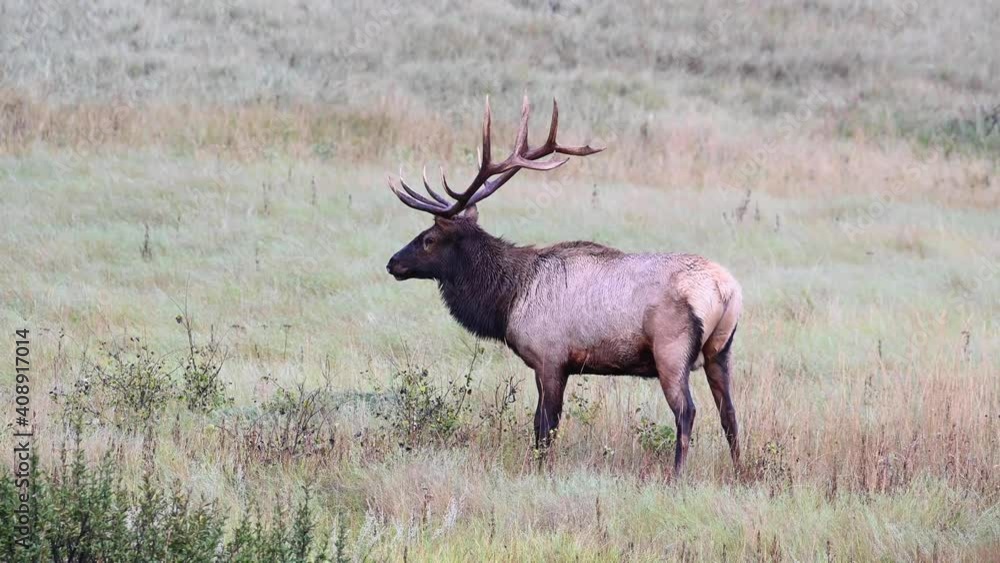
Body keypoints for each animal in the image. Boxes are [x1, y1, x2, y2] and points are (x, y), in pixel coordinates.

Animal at [385, 96, 742, 474]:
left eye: (428, 239)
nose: (393, 262)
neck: (508, 299)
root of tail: (727, 291)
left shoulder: (550, 357)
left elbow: (545, 425)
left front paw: (541, 469)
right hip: (720, 350)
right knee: (730, 414)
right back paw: (738, 470)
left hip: (671, 350)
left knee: (687, 411)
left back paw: (676, 475)